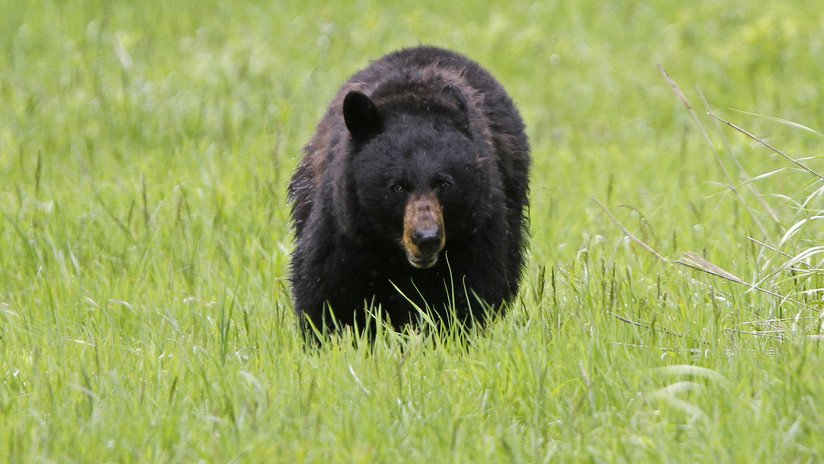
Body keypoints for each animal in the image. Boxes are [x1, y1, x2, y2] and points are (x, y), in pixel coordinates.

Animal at [290, 47, 532, 338]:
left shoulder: (476, 228)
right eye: (397, 186)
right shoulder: (346, 225)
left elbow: (470, 291)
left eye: (444, 183)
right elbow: (327, 290)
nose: (426, 238)